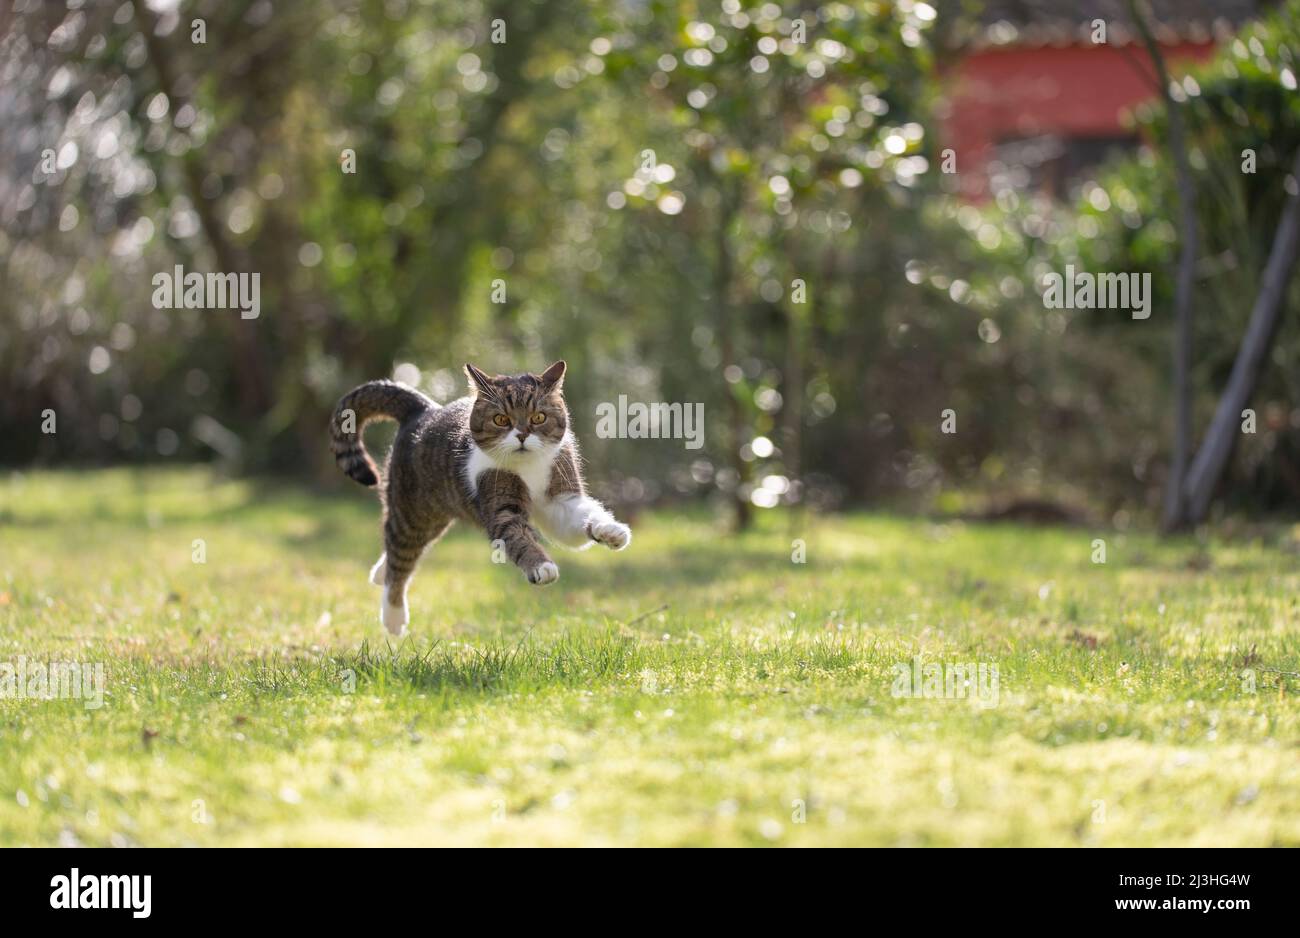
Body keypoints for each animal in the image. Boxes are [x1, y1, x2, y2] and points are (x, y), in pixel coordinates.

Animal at [325, 358, 629, 636]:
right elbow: (516, 534)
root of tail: (425, 408)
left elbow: (580, 520)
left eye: (538, 418)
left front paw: (611, 531)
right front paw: (541, 565)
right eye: (501, 419)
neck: (529, 467)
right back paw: (393, 616)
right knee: (400, 556)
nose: (521, 435)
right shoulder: (499, 504)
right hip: (413, 513)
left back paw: (379, 573)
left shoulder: (559, 500)